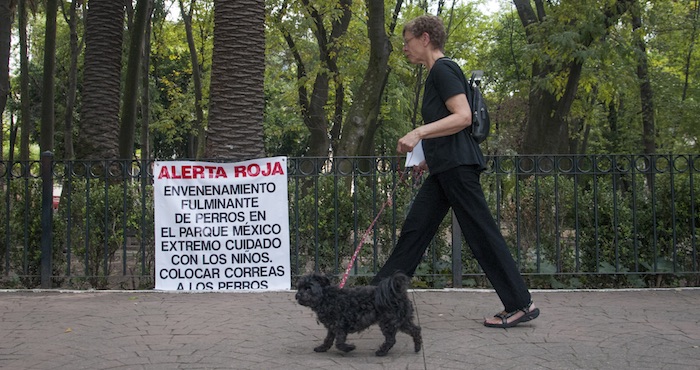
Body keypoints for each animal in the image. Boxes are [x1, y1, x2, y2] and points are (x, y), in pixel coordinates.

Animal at [294, 274, 422, 356]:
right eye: (299, 287)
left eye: (308, 288)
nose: (297, 295)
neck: (326, 298)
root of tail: (396, 293)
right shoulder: (332, 327)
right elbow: (328, 339)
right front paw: (322, 348)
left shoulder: (340, 326)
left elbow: (339, 343)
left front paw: (349, 348)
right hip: (402, 320)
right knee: (415, 330)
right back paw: (417, 347)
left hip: (388, 322)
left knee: (391, 340)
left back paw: (381, 352)